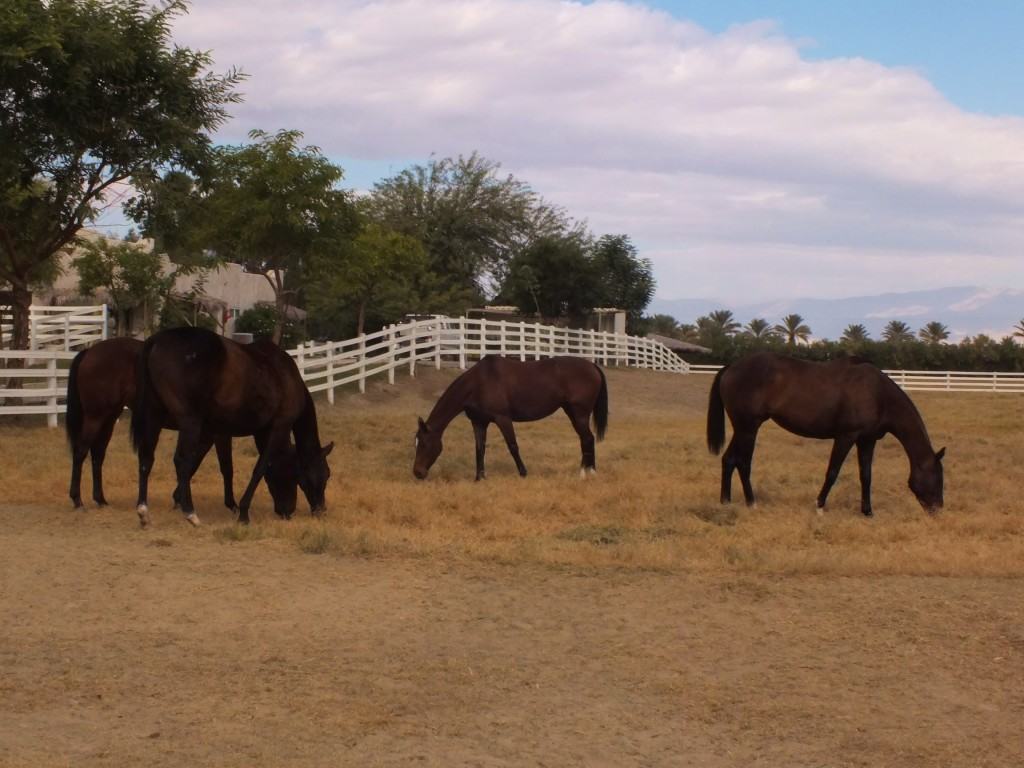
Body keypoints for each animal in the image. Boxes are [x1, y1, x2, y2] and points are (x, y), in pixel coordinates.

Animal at [66, 337, 298, 516]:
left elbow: (195, 461)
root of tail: (89, 351)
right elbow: (223, 466)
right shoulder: (219, 434)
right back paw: (78, 500)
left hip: (108, 418)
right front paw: (229, 504)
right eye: (290, 472)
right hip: (95, 417)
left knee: (97, 455)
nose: (288, 510)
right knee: (80, 452)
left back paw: (100, 499)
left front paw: (179, 498)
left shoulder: (206, 433)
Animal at [130, 327, 333, 528]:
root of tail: (156, 340)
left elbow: (220, 465)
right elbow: (260, 468)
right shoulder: (279, 426)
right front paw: (243, 512)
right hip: (189, 422)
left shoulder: (230, 433)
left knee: (146, 458)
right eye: (323, 475)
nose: (320, 510)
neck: (285, 376)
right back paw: (191, 513)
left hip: (153, 417)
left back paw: (143, 511)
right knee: (181, 460)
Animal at [413, 355, 608, 481]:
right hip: (572, 412)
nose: (417, 473)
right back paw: (590, 471)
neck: (479, 383)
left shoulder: (503, 419)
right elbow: (479, 448)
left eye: (423, 444)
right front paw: (479, 477)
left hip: (580, 414)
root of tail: (593, 366)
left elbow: (513, 446)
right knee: (586, 439)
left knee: (587, 439)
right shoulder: (479, 422)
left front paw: (523, 473)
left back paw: (585, 473)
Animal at [706, 352, 944, 516]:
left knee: (729, 460)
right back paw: (751, 503)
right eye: (938, 477)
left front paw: (868, 512)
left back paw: (725, 502)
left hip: (742, 429)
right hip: (748, 428)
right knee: (743, 463)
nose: (938, 510)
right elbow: (832, 472)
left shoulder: (866, 440)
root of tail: (732, 367)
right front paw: (819, 506)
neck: (878, 394)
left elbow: (866, 475)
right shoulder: (846, 437)